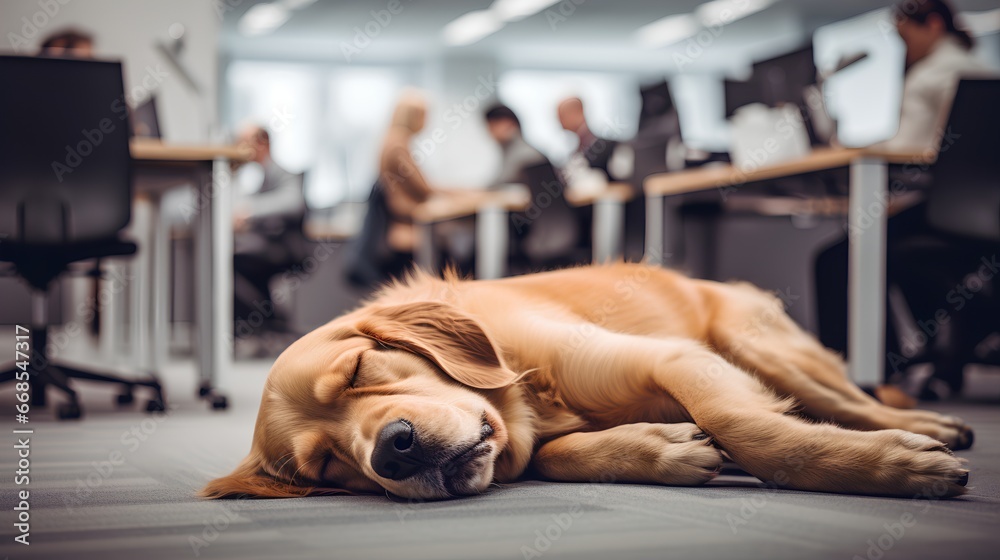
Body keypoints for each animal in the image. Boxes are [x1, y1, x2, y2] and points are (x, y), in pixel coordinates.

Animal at [199, 264, 972, 500]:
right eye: (327, 466)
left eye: (359, 372)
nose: (393, 450)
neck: (534, 396)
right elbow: (556, 456)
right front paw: (665, 448)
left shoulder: (673, 358)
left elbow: (747, 426)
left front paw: (892, 468)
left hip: (758, 346)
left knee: (848, 398)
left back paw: (929, 426)